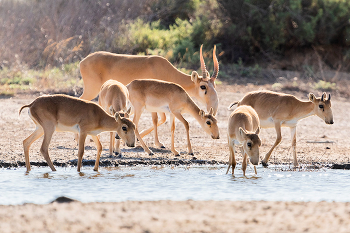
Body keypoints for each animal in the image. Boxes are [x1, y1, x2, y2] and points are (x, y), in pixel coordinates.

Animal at [78, 44, 219, 148]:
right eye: (203, 87)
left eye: (214, 85)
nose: (214, 106)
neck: (165, 69)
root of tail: (82, 61)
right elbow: (157, 119)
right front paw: (156, 143)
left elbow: (160, 119)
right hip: (91, 90)